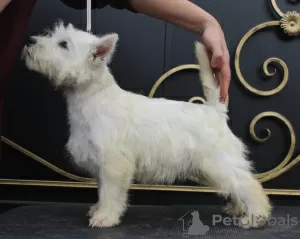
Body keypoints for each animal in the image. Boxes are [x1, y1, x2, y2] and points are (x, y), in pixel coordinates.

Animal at [22, 21, 272, 229]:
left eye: (63, 44)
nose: (30, 41)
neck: (91, 97)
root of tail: (215, 110)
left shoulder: (114, 163)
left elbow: (110, 193)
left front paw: (105, 217)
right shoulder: (101, 162)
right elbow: (101, 189)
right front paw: (98, 210)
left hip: (218, 161)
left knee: (248, 184)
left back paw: (254, 217)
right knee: (235, 185)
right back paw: (237, 209)